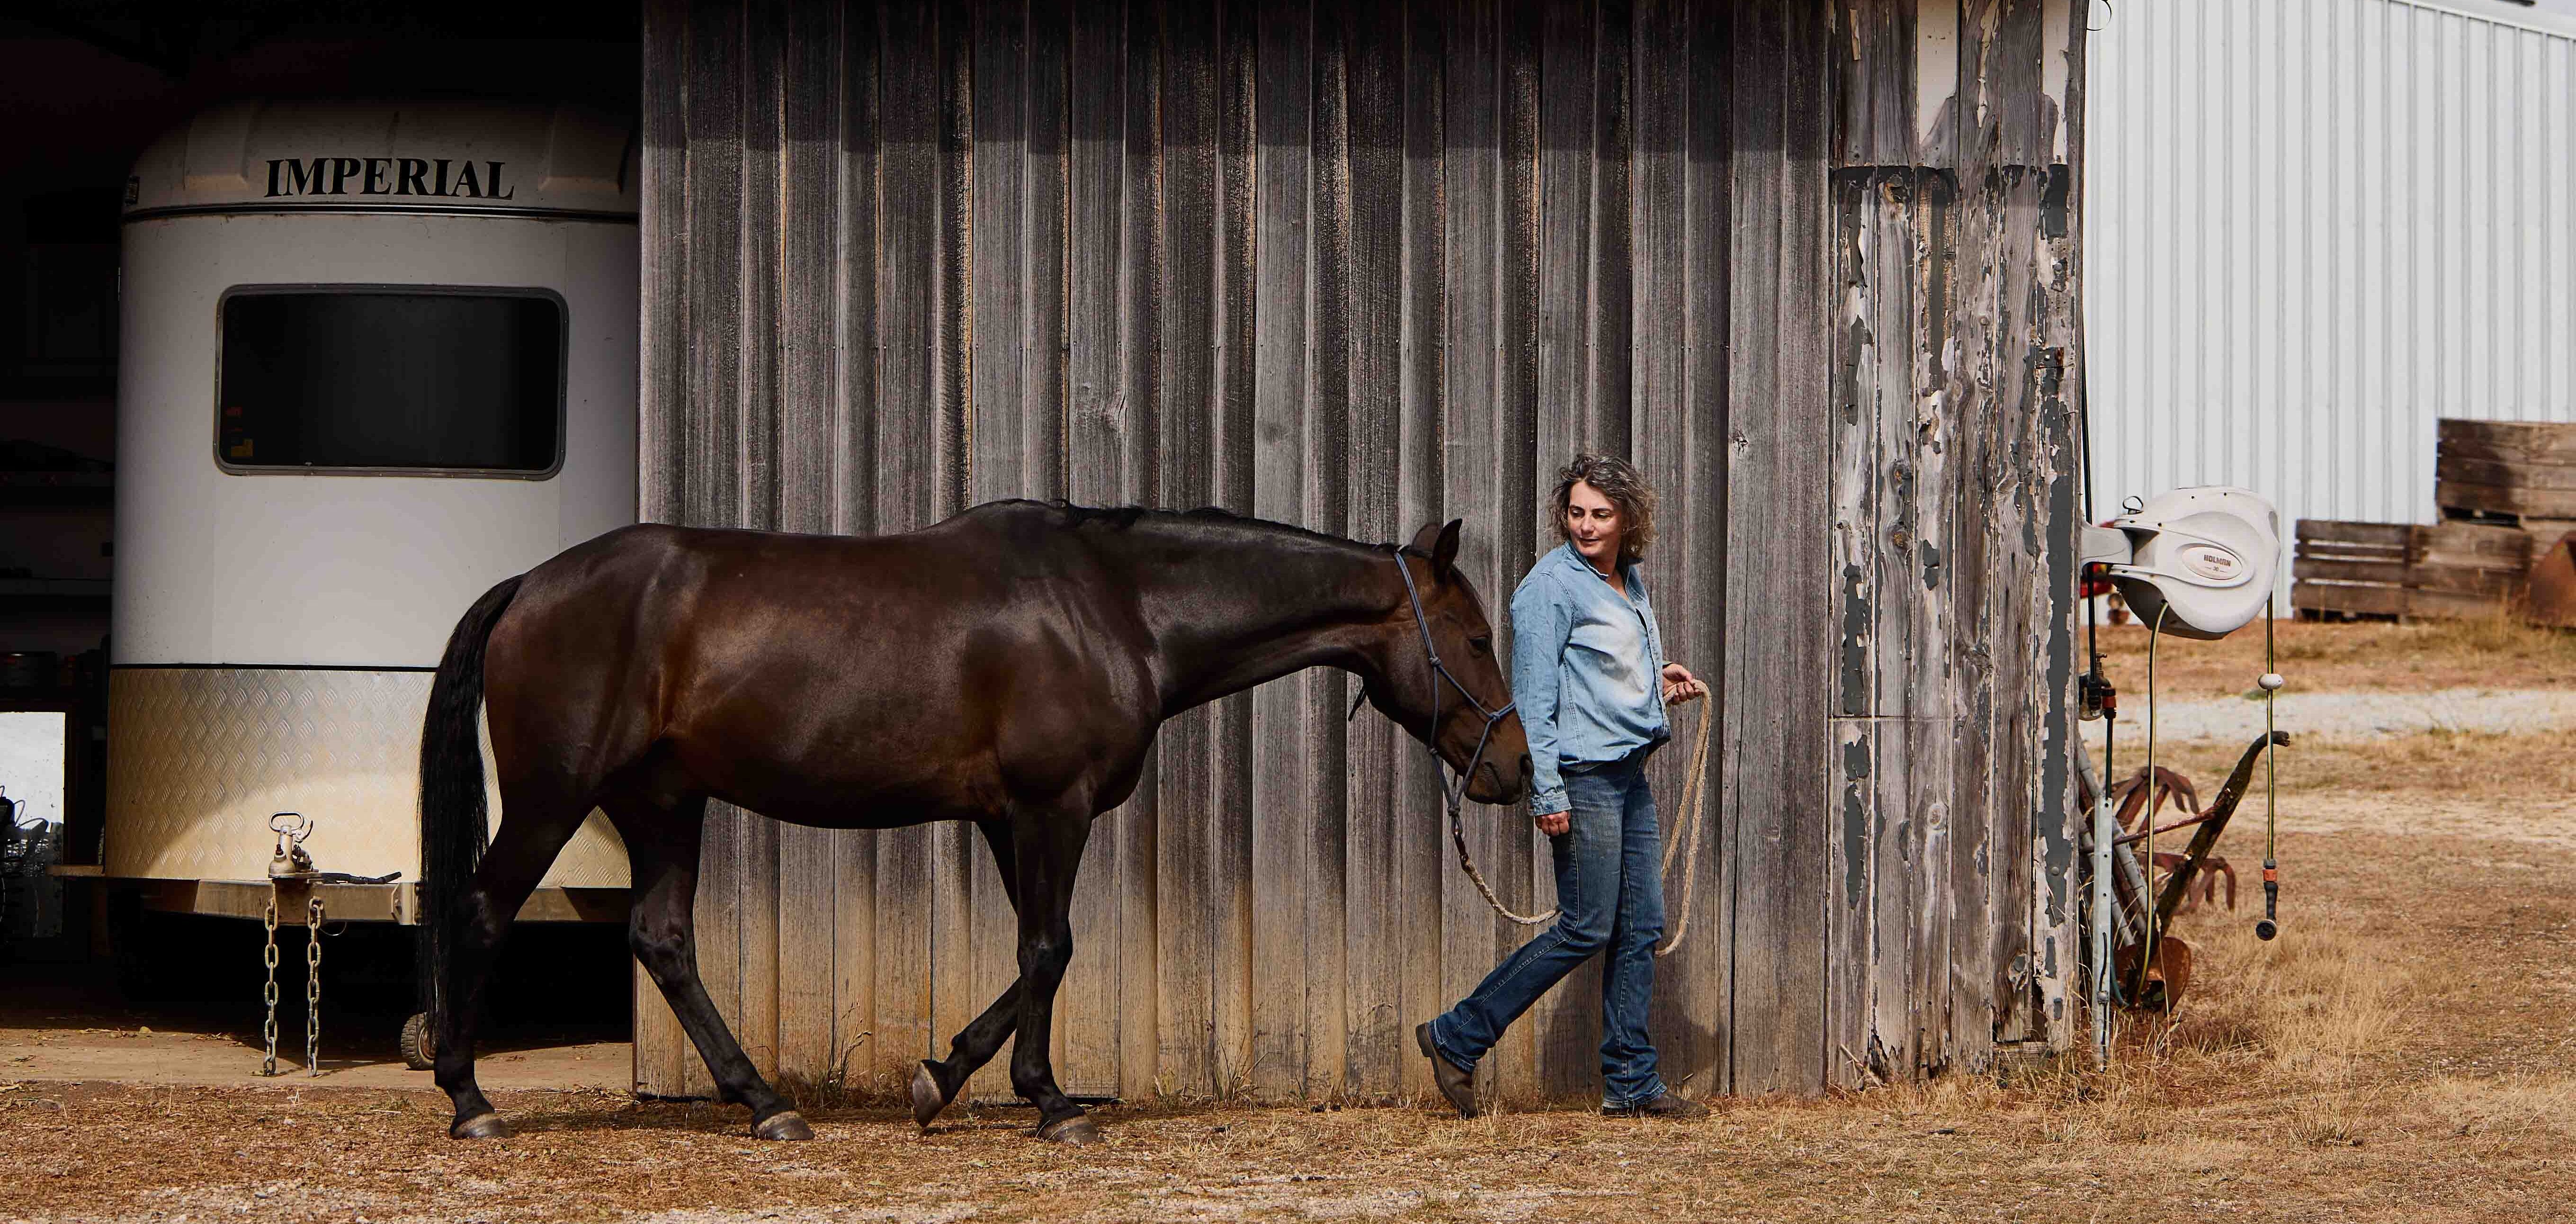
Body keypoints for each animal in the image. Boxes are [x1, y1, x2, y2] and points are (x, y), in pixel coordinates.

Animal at [417, 501, 1531, 1145]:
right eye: (1477, 637)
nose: (1515, 768)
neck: (1116, 606)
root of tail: (531, 585)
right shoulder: (1052, 807)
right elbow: (1050, 947)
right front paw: (1047, 1103)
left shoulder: (1008, 819)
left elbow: (1036, 950)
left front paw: (944, 1075)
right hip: (559, 795)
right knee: (481, 909)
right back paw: (470, 1101)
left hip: (661, 799)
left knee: (662, 937)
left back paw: (766, 1104)